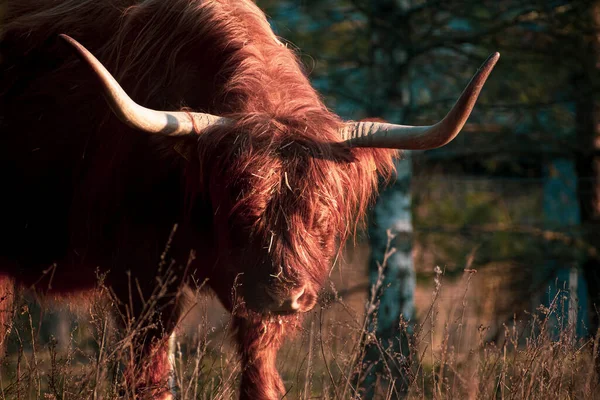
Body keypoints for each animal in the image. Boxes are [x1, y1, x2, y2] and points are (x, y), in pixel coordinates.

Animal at [0, 0, 496, 400]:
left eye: (322, 215)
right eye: (240, 209)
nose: (285, 294)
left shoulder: (251, 297)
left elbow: (259, 375)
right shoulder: (140, 276)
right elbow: (150, 377)